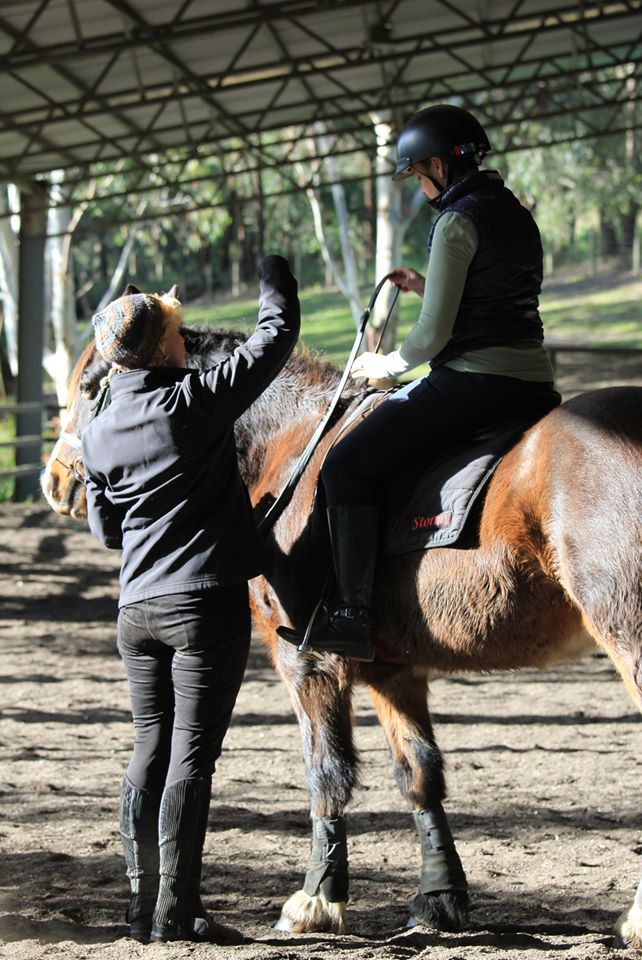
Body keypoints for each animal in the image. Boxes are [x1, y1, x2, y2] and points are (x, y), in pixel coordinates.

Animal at [41, 320, 640, 944]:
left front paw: (315, 901)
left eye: (90, 386)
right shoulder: (393, 671)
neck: (293, 444)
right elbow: (419, 775)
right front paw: (439, 901)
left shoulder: (307, 665)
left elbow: (325, 774)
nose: (54, 480)